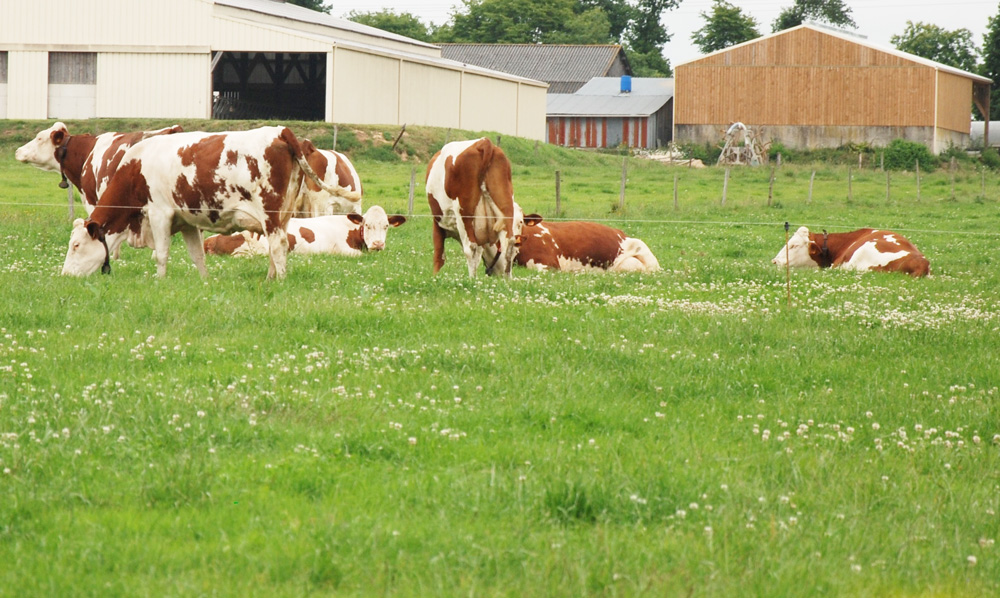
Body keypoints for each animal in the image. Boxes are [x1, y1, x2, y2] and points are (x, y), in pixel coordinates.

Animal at [61, 127, 364, 282]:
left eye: (75, 245)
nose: (64, 276)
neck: (135, 168)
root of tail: (281, 131)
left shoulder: (159, 213)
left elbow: (161, 254)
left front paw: (159, 282)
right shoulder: (186, 221)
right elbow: (197, 255)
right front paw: (205, 282)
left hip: (270, 212)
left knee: (278, 245)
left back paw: (277, 281)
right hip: (286, 213)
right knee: (278, 245)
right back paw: (270, 277)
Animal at [424, 139, 524, 278]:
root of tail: (484, 142)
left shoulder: (438, 224)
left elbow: (439, 257)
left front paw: (434, 277)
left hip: (464, 213)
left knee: (470, 248)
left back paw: (472, 280)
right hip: (505, 206)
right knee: (508, 243)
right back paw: (507, 279)